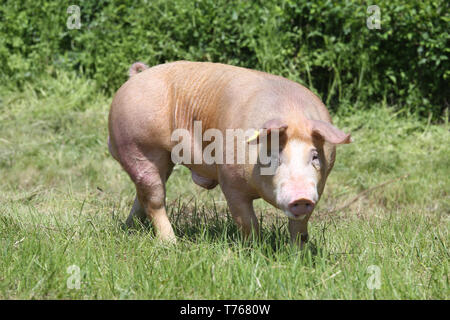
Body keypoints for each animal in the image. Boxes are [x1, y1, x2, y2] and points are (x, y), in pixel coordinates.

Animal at [106, 61, 352, 246]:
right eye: (274, 157)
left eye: (315, 156)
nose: (301, 197)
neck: (292, 113)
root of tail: (136, 76)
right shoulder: (230, 181)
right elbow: (247, 222)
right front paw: (255, 250)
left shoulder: (319, 187)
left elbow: (300, 228)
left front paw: (297, 255)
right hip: (137, 146)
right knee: (154, 198)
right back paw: (171, 243)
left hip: (162, 158)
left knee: (142, 196)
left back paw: (130, 228)